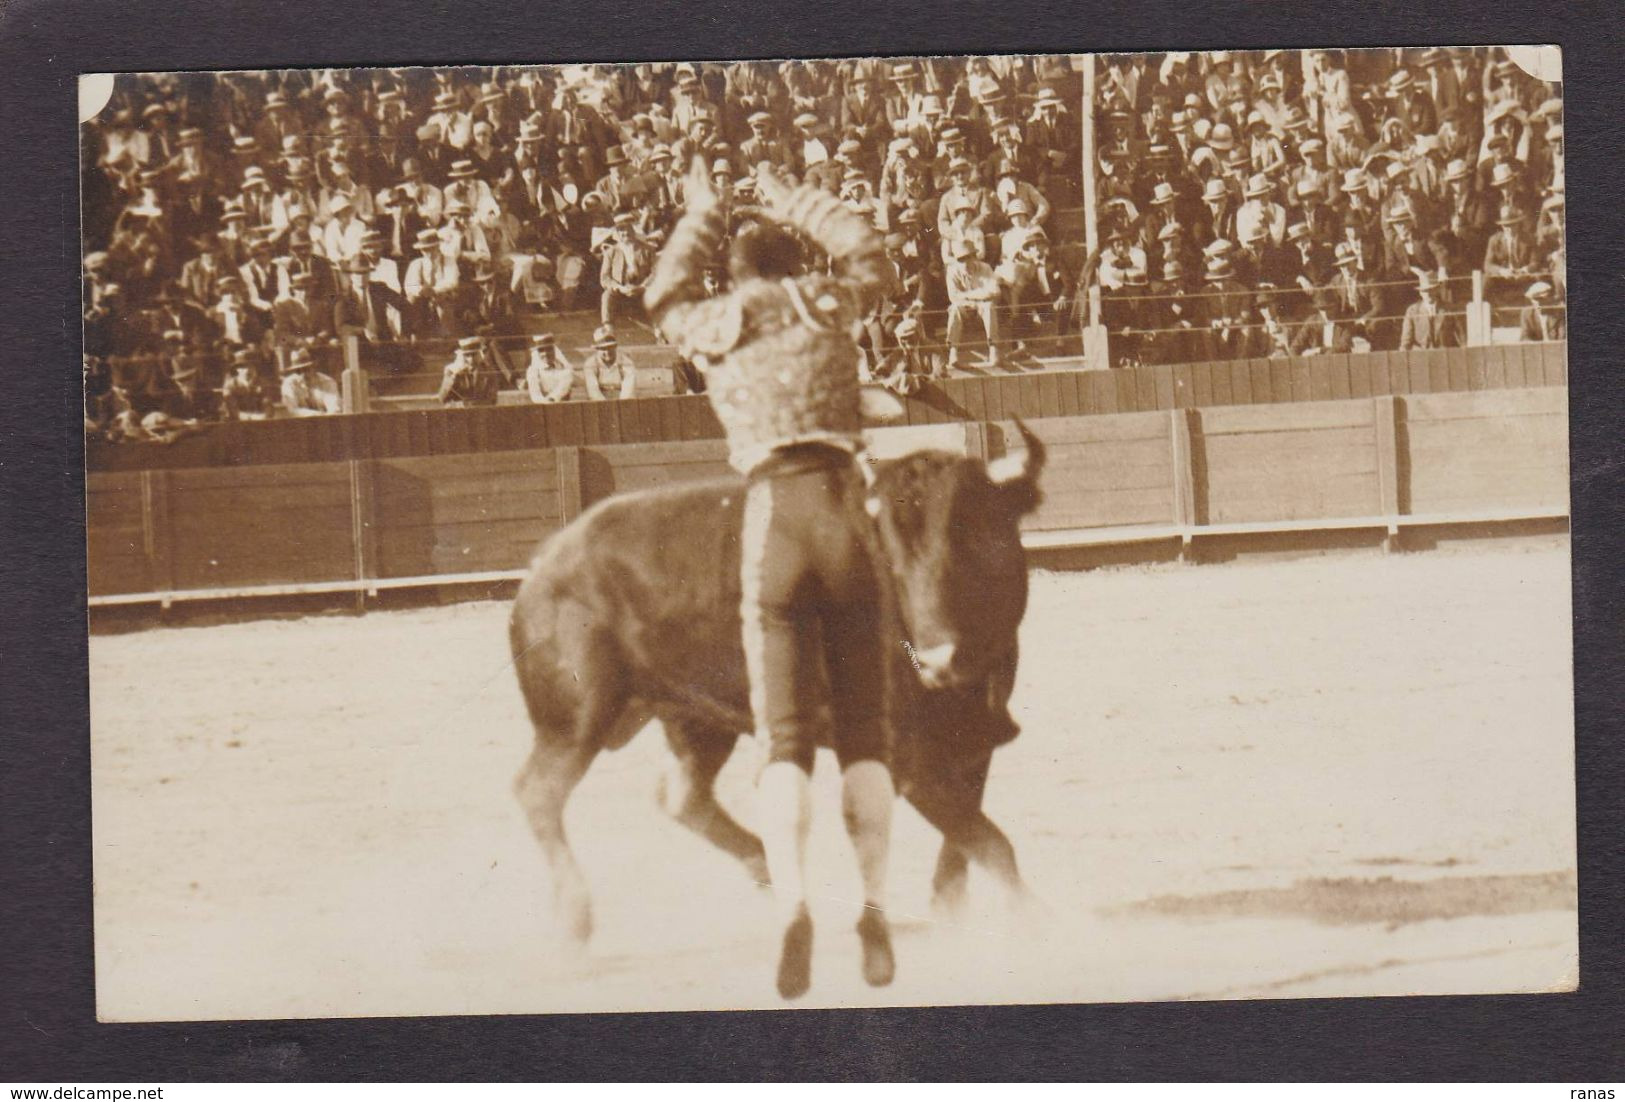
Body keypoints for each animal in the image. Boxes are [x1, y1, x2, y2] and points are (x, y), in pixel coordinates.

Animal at [507, 419, 1040, 942]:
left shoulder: (973, 746)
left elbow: (964, 845)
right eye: (890, 559)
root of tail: (547, 560)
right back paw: (576, 919)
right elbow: (992, 844)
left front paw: (954, 913)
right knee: (540, 792)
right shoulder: (912, 761)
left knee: (682, 796)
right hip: (576, 718)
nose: (938, 659)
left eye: (980, 536)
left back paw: (773, 876)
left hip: (696, 716)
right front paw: (1031, 922)